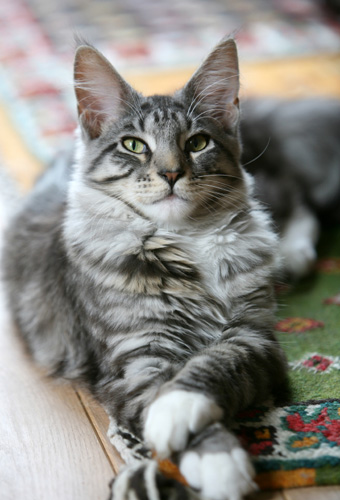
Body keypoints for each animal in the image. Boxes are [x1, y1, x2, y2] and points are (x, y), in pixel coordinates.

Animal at [3, 39, 288, 500]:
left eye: (198, 142)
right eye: (135, 145)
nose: (171, 173)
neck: (185, 239)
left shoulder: (256, 335)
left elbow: (215, 364)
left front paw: (181, 408)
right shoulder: (135, 355)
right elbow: (157, 397)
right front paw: (219, 461)